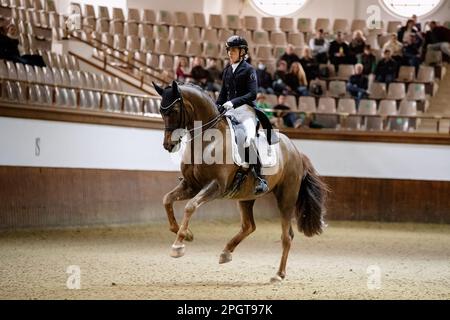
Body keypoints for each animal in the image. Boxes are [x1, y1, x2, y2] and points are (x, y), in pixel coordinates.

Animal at [152, 81, 326, 282]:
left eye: (173, 110)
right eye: (160, 110)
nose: (168, 145)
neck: (208, 141)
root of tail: (296, 150)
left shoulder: (215, 186)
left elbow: (190, 206)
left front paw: (178, 246)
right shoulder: (191, 185)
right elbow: (167, 200)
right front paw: (187, 235)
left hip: (287, 198)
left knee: (286, 236)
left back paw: (278, 274)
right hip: (246, 197)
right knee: (249, 226)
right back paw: (226, 252)